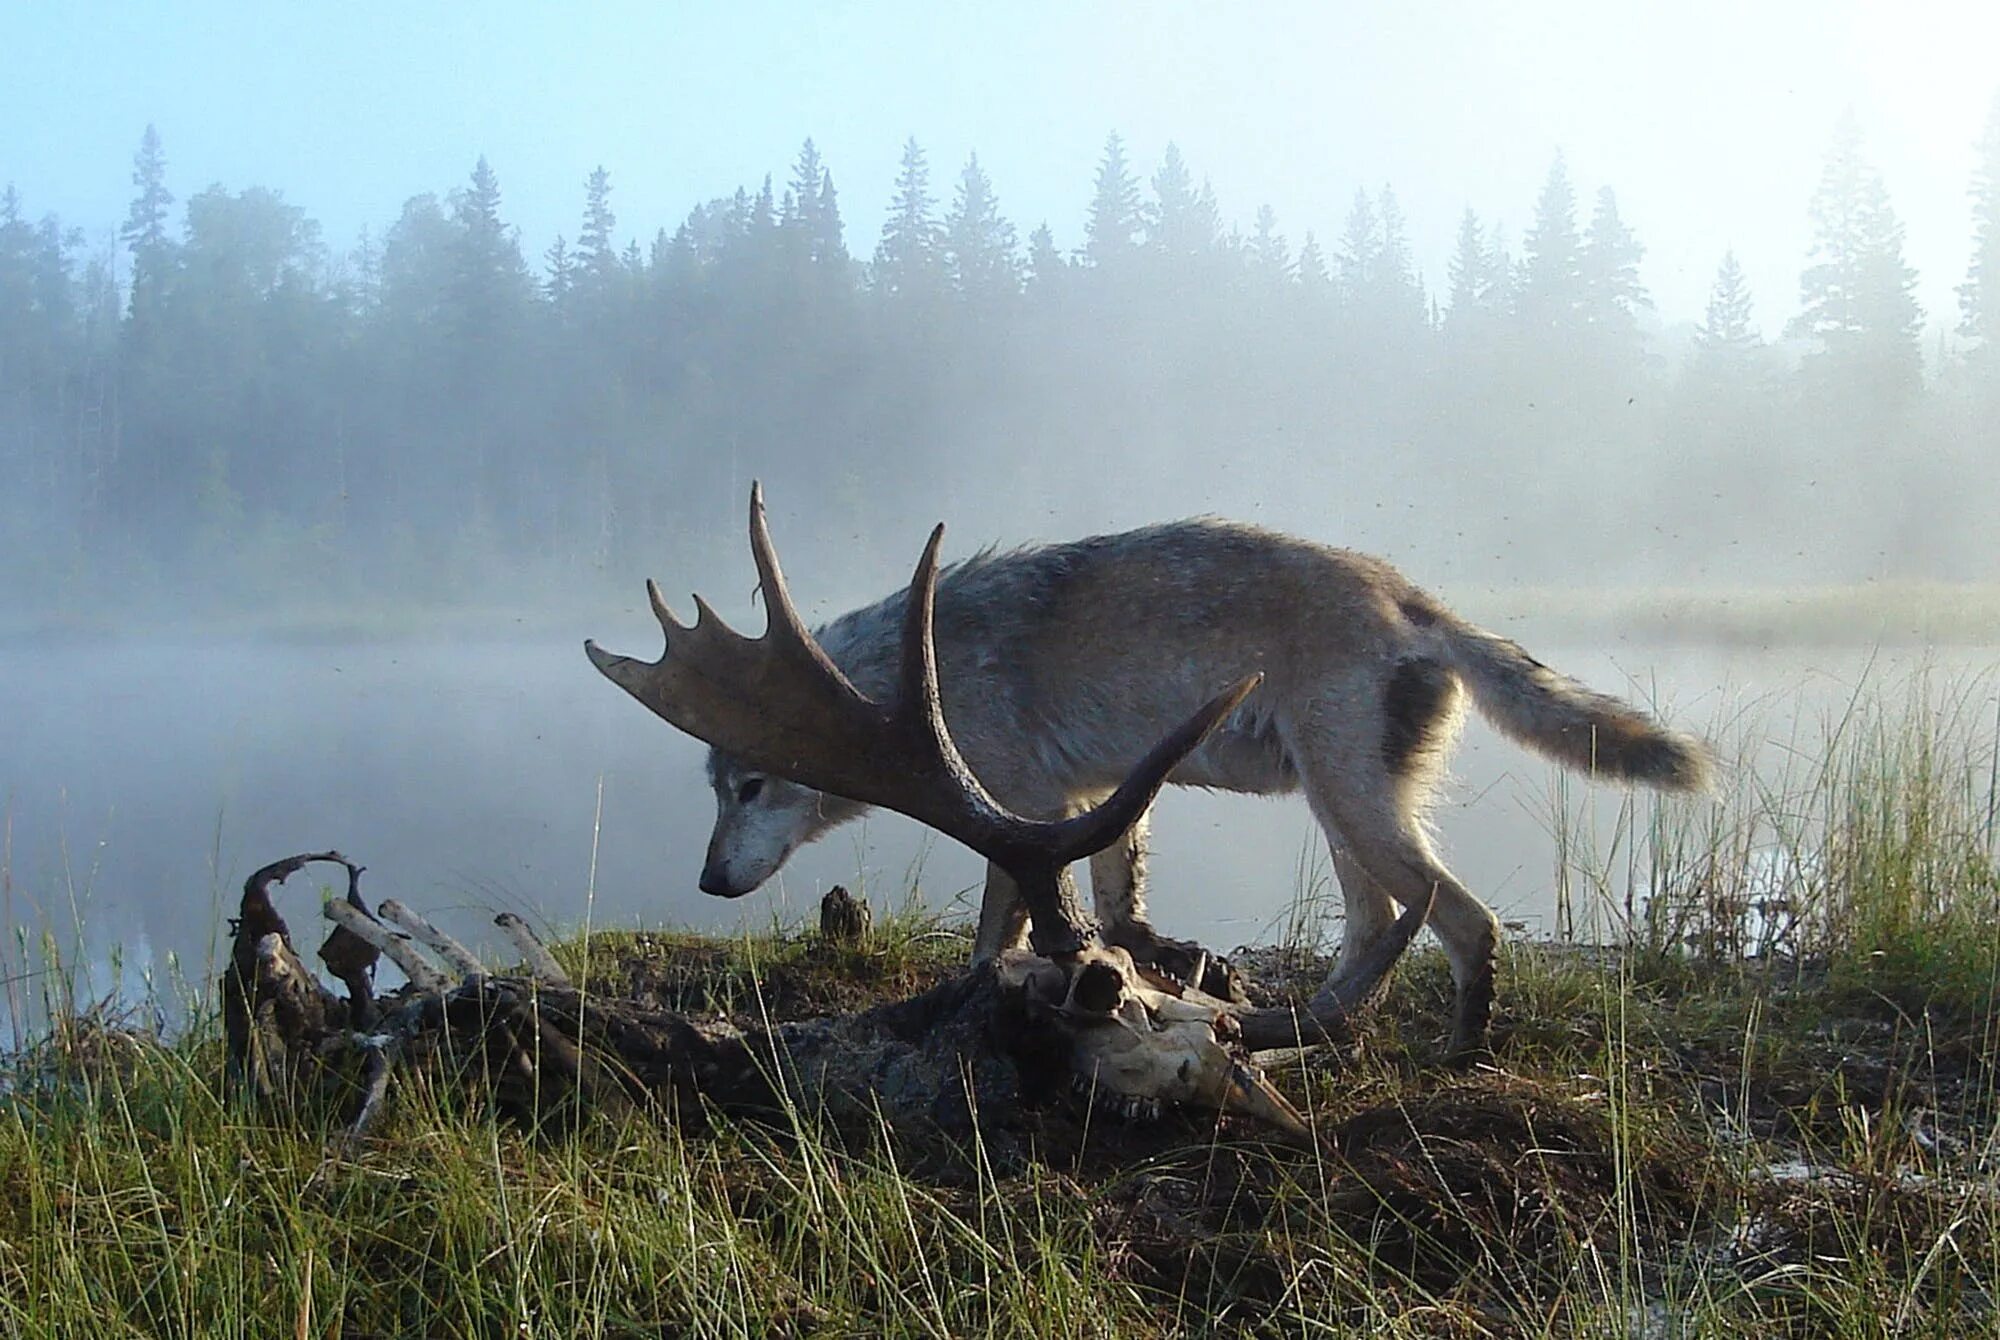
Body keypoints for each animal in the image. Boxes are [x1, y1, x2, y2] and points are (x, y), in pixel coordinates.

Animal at [696, 520, 1712, 1056]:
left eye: (750, 788)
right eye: (715, 788)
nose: (706, 882)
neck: (905, 683)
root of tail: (1415, 602)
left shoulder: (1019, 812)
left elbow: (998, 931)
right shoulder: (1094, 799)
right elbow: (1116, 908)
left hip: (1355, 810)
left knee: (1464, 921)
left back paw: (1451, 1056)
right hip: (1340, 811)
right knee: (1381, 925)